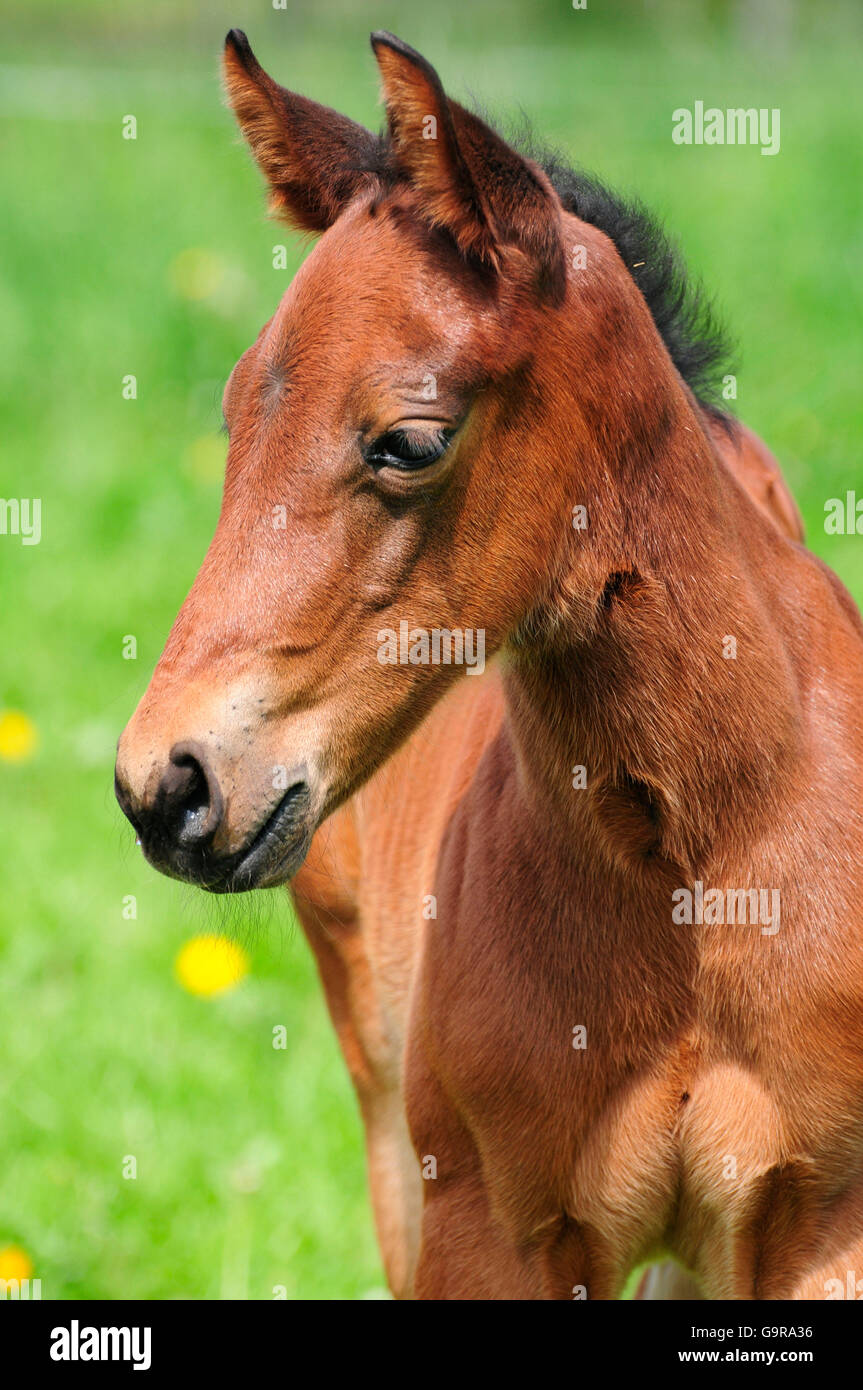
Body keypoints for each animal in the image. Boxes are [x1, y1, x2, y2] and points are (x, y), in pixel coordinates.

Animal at [115, 29, 863, 1300]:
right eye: (234, 413)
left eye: (408, 440)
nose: (166, 783)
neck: (700, 854)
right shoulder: (480, 1230)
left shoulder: (822, 1226)